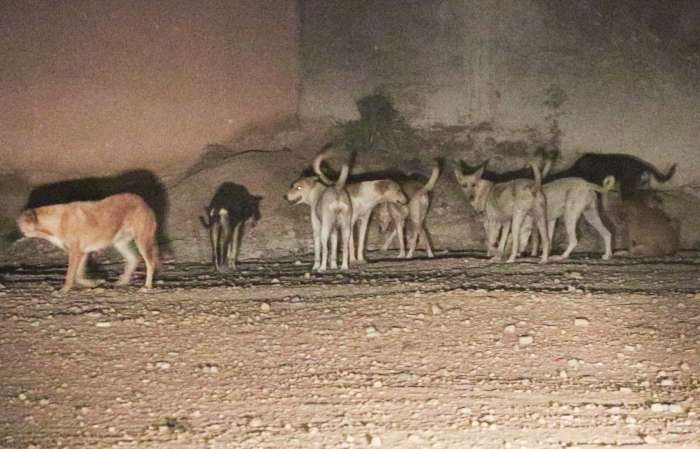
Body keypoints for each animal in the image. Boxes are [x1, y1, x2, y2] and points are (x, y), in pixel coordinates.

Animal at [15, 192, 159, 290]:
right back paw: (122, 282)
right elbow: (78, 275)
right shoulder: (82, 252)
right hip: (120, 243)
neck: (56, 222)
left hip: (142, 241)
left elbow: (70, 275)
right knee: (133, 259)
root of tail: (143, 201)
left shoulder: (75, 252)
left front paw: (63, 290)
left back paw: (147, 286)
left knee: (150, 263)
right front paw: (93, 283)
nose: (16, 235)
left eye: (21, 224)